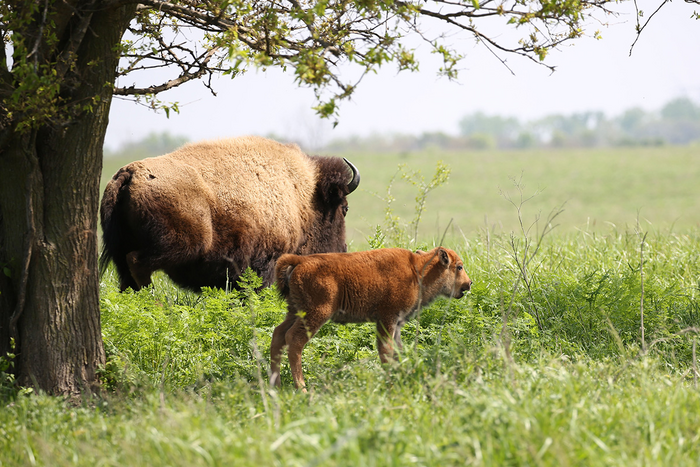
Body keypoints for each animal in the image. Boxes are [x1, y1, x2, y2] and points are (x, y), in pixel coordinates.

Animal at [100, 133, 360, 292]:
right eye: (344, 209)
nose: (342, 251)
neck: (301, 196)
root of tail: (130, 173)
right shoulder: (266, 261)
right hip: (180, 246)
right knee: (137, 264)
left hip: (121, 248)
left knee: (126, 276)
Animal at [270, 247, 474, 390]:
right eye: (459, 266)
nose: (469, 283)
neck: (418, 270)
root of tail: (301, 261)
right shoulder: (387, 318)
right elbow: (386, 350)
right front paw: (391, 383)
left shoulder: (396, 323)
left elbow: (397, 350)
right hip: (315, 314)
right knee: (294, 340)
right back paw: (302, 388)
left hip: (294, 311)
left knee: (278, 335)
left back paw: (276, 386)